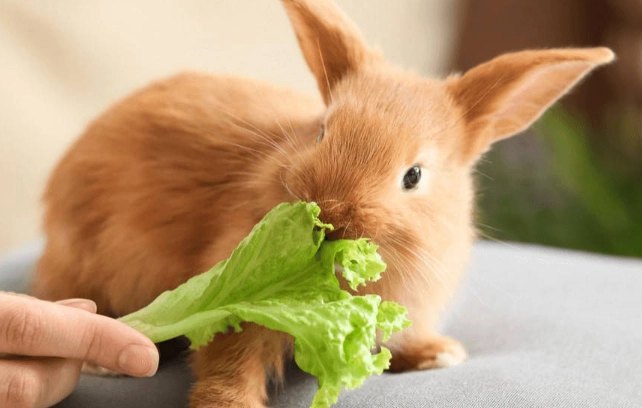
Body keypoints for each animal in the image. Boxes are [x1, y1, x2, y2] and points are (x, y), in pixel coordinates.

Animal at [32, 0, 614, 406]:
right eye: (322, 133)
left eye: (414, 176)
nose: (330, 214)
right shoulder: (235, 304)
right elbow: (229, 363)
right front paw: (225, 406)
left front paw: (438, 355)